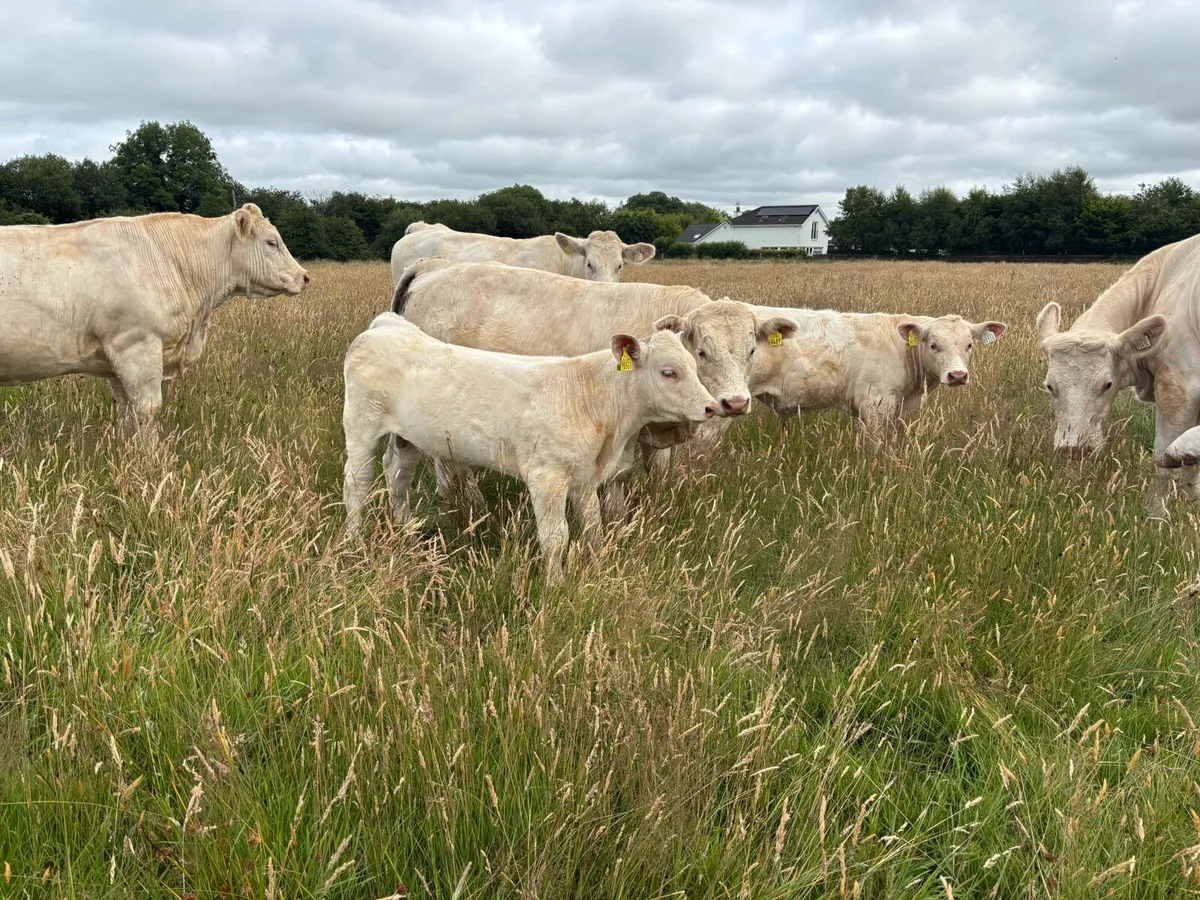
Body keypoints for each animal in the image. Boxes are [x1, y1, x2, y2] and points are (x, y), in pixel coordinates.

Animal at [0, 203, 309, 437]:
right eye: (271, 242)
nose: (305, 277)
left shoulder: (116, 361)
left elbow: (125, 411)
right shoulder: (136, 344)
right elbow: (147, 411)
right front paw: (150, 460)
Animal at [341, 313, 718, 581]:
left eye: (694, 364)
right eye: (668, 372)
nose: (711, 407)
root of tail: (386, 325)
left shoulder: (585, 479)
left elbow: (593, 529)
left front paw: (597, 569)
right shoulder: (546, 477)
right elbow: (556, 537)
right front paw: (556, 586)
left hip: (407, 437)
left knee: (397, 476)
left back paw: (406, 533)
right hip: (360, 427)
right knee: (357, 483)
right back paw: (354, 542)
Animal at [390, 258, 798, 512]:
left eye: (751, 349)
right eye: (701, 351)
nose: (736, 403)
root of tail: (434, 266)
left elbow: (656, 471)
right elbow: (621, 474)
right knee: (443, 460)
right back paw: (466, 503)